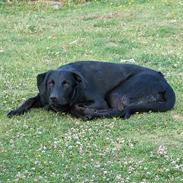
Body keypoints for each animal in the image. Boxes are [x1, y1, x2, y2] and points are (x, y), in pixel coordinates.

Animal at [7, 60, 176, 119]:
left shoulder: (99, 102)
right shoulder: (43, 96)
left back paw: (88, 114)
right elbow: (29, 100)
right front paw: (16, 111)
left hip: (117, 92)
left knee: (119, 110)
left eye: (66, 84)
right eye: (50, 83)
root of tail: (164, 81)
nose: (53, 98)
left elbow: (74, 105)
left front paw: (80, 111)